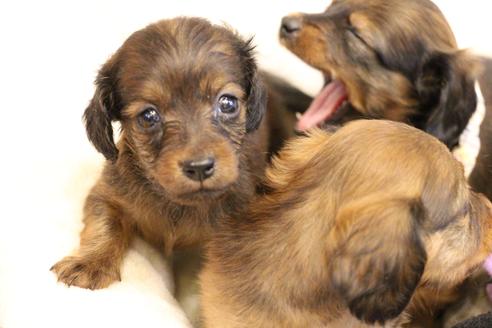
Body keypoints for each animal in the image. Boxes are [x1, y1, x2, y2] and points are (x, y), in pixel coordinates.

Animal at [50, 17, 272, 290]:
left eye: (228, 103)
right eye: (149, 116)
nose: (199, 167)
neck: (177, 203)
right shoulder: (107, 195)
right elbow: (104, 225)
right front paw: (90, 262)